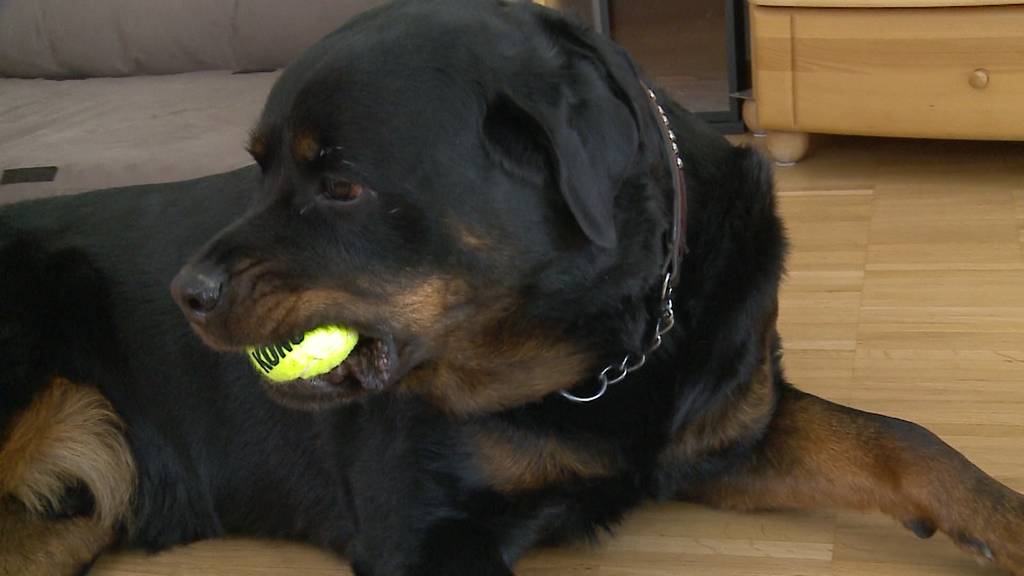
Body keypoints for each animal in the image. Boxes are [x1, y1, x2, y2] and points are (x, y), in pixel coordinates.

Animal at [2, 1, 1024, 573]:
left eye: (341, 183)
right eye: (257, 168)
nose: (189, 291)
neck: (608, 353)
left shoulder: (728, 431)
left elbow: (899, 440)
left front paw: (1002, 521)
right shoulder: (424, 531)